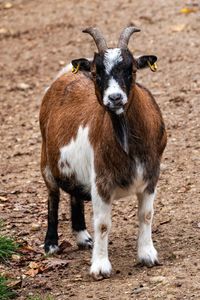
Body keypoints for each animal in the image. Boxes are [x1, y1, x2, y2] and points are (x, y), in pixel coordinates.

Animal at [39, 27, 167, 280]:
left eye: (132, 69)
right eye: (97, 72)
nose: (115, 98)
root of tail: (67, 74)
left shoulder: (151, 176)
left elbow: (146, 215)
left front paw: (148, 255)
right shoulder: (101, 181)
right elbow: (103, 224)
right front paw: (100, 267)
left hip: (76, 169)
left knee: (74, 194)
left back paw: (82, 237)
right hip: (46, 161)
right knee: (53, 196)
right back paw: (51, 244)